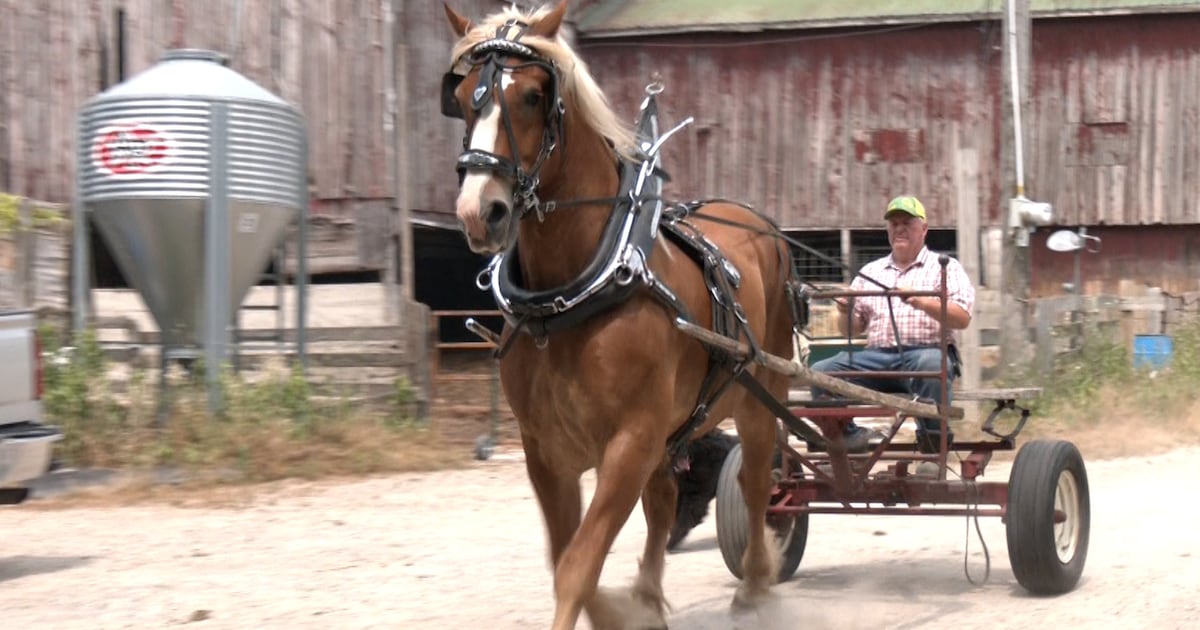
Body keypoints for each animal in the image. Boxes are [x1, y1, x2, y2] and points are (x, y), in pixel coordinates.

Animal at [440, 2, 801, 627]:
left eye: (533, 94)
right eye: (462, 96)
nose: (479, 212)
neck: (570, 302)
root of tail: (758, 222)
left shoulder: (629, 442)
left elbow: (577, 567)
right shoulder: (547, 452)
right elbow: (566, 560)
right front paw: (622, 610)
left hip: (759, 394)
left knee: (757, 482)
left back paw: (756, 584)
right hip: (670, 430)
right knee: (664, 504)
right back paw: (651, 595)